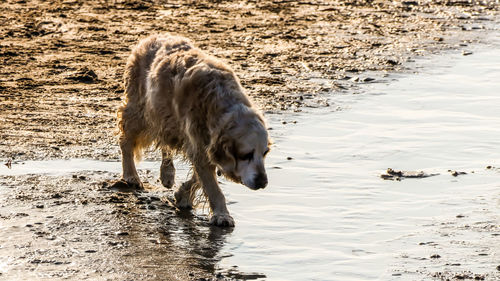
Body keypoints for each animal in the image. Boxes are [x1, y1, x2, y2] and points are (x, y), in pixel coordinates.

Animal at [116, 34, 270, 225]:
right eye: (246, 155)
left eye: (265, 153)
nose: (263, 182)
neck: (220, 101)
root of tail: (151, 37)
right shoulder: (199, 144)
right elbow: (212, 187)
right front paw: (222, 215)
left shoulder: (204, 144)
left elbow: (200, 176)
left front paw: (183, 195)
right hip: (140, 112)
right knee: (126, 140)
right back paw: (131, 175)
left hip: (163, 115)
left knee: (165, 143)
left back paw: (167, 174)